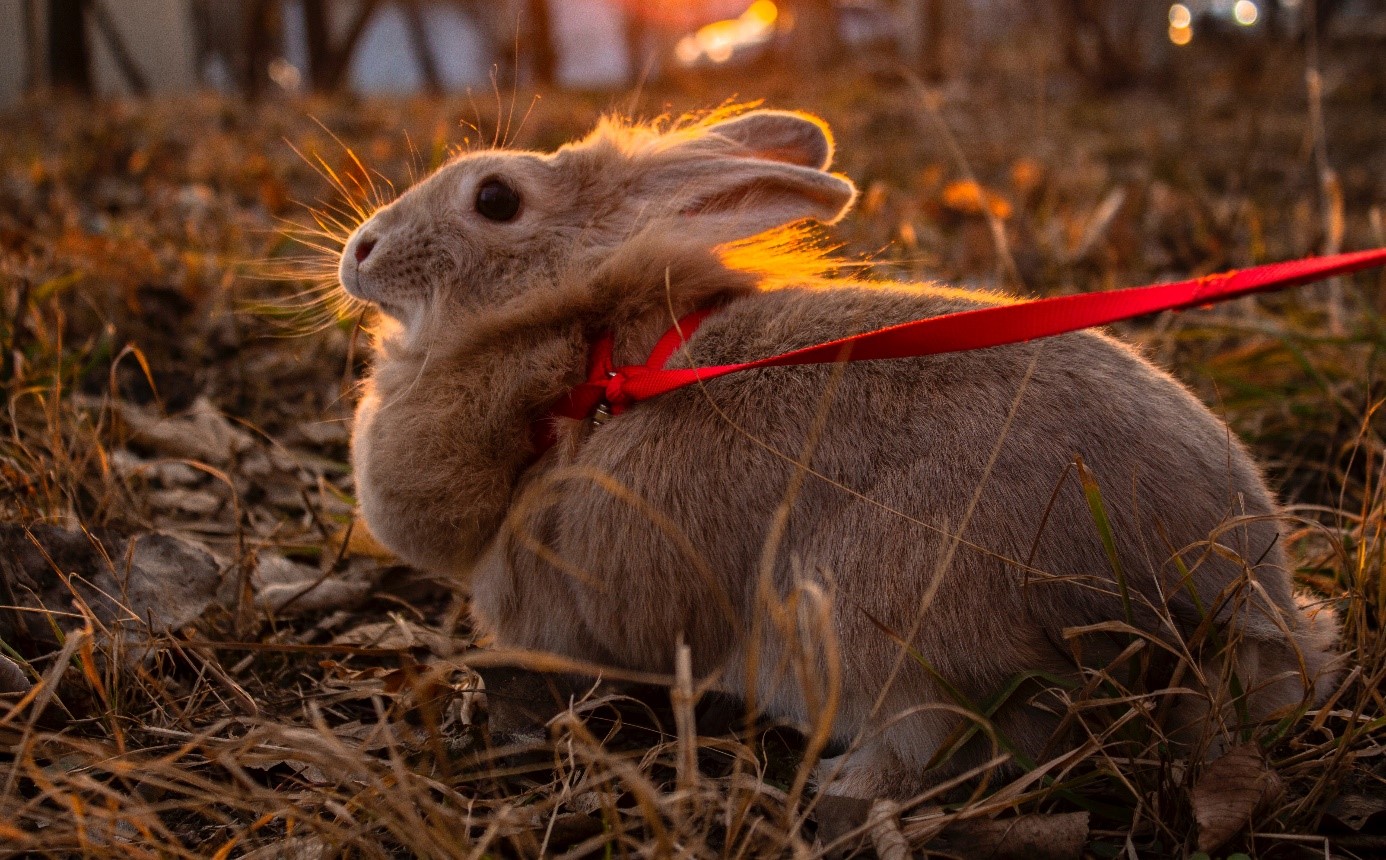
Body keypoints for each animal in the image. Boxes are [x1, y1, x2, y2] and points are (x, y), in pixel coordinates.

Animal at [338, 107, 1341, 798]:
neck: (583, 360)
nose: (360, 252)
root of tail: (1226, 585)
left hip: (886, 625)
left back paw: (838, 788)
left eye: (495, 198)